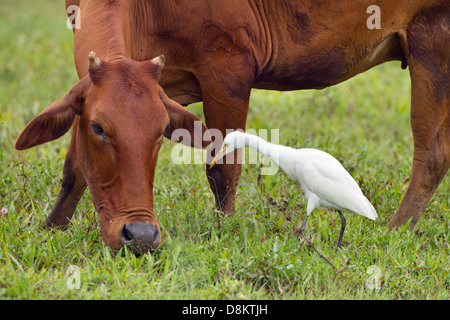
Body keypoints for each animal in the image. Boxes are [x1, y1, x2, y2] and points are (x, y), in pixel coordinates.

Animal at [15, 0, 448, 252]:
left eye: (159, 134)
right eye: (99, 128)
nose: (140, 236)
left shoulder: (229, 67)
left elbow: (223, 168)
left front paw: (224, 231)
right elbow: (75, 170)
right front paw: (51, 229)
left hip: (432, 44)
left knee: (432, 156)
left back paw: (395, 232)